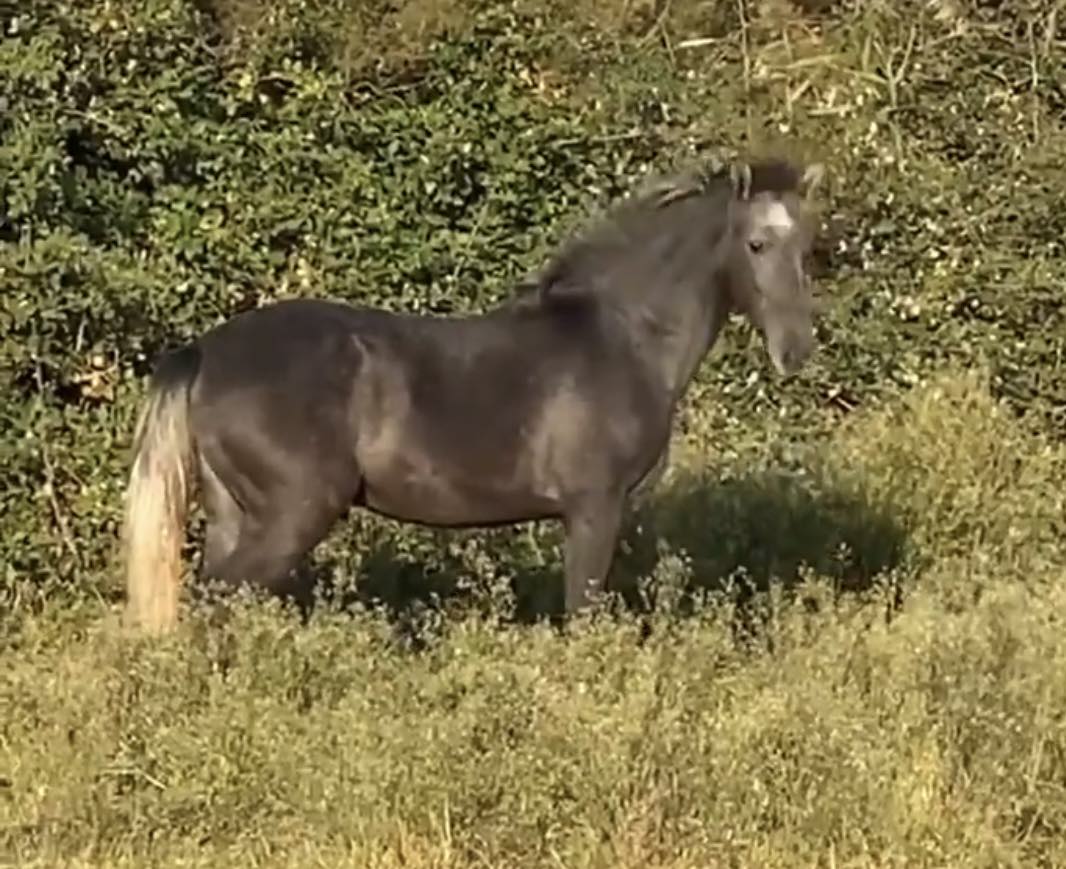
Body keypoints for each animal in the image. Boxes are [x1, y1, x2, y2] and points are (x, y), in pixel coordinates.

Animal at [120, 156, 827, 631]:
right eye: (756, 243)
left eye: (808, 246)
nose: (796, 350)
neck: (622, 336)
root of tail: (205, 351)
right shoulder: (593, 508)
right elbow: (584, 612)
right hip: (292, 513)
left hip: (233, 510)